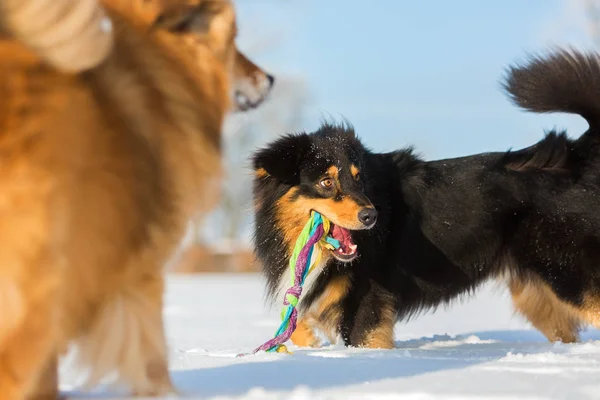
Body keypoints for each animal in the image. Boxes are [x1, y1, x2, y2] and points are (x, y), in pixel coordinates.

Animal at [253, 47, 600, 350]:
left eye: (358, 178)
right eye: (326, 182)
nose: (371, 216)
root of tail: (575, 157)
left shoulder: (366, 304)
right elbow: (295, 321)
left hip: (568, 275)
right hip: (539, 294)